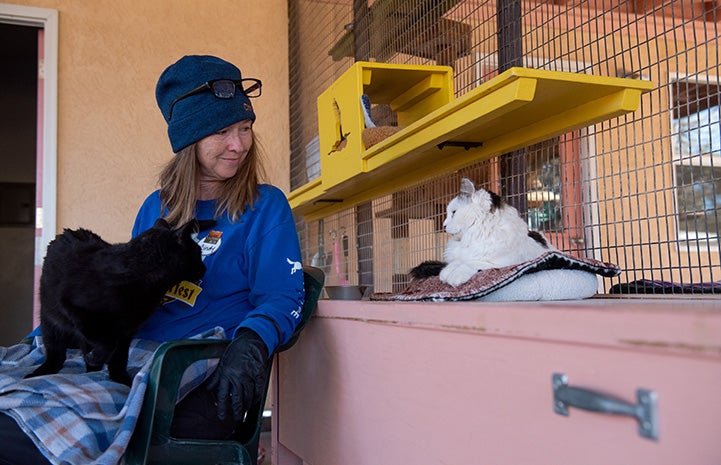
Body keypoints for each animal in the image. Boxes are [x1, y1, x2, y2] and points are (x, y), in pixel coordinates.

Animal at [26, 218, 211, 384]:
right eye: (198, 252)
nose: (204, 268)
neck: (139, 272)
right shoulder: (76, 310)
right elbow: (108, 343)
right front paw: (97, 358)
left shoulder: (126, 330)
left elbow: (119, 358)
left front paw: (121, 380)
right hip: (52, 322)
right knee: (56, 355)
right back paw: (40, 372)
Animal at [408, 178, 556, 286]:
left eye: (453, 212)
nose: (444, 225)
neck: (474, 235)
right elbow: (457, 261)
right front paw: (445, 272)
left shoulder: (502, 264)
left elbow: (472, 262)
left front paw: (454, 276)